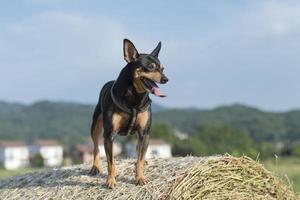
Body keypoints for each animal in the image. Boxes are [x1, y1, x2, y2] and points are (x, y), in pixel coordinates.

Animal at [89, 38, 169, 188]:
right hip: (95, 126)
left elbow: (140, 158)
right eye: (150, 67)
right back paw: (95, 167)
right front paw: (110, 180)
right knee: (96, 147)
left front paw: (140, 178)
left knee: (138, 150)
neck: (135, 99)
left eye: (162, 69)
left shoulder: (144, 133)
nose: (166, 79)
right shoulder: (109, 135)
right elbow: (111, 162)